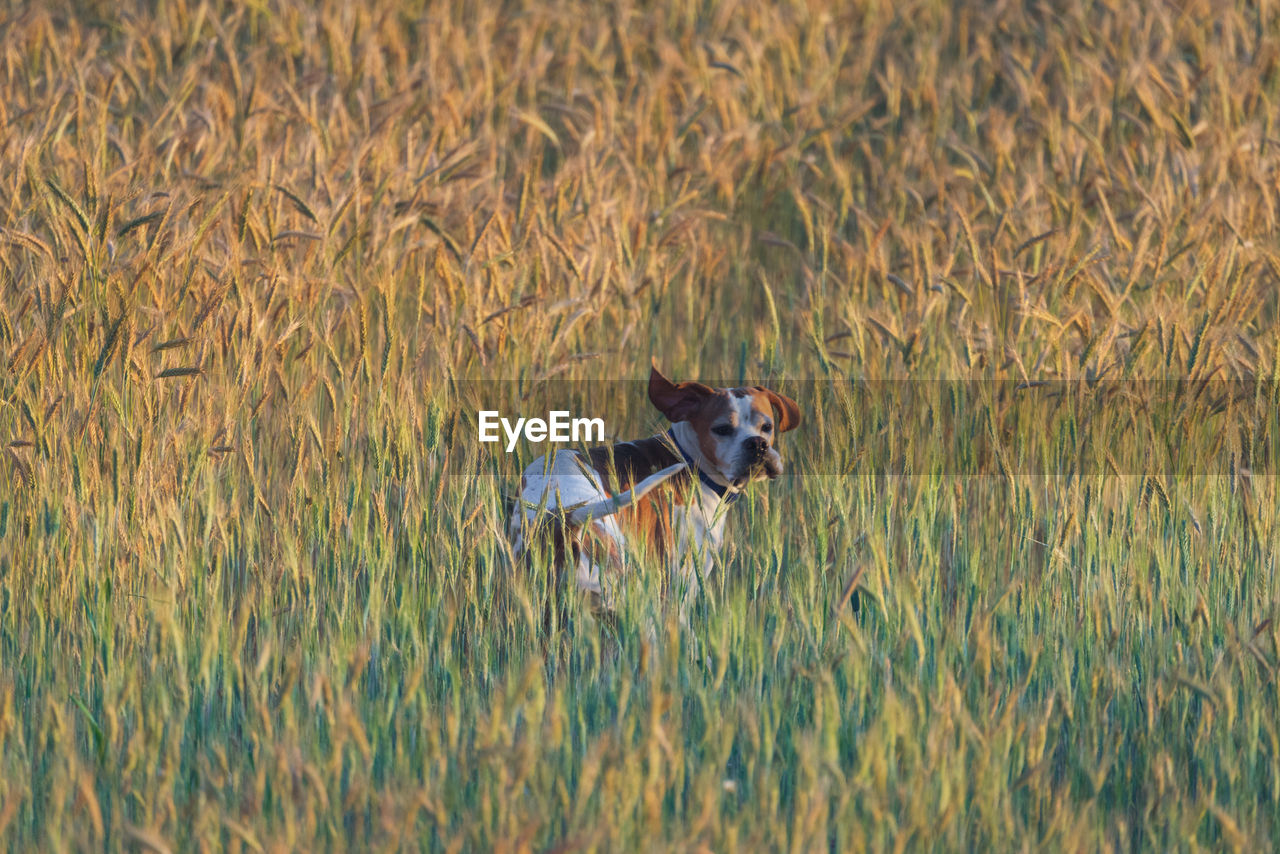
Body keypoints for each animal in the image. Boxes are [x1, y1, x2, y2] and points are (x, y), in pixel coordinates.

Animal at [509, 361, 798, 622]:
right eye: (722, 429)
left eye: (767, 427)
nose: (758, 444)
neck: (689, 459)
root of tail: (560, 517)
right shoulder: (682, 584)